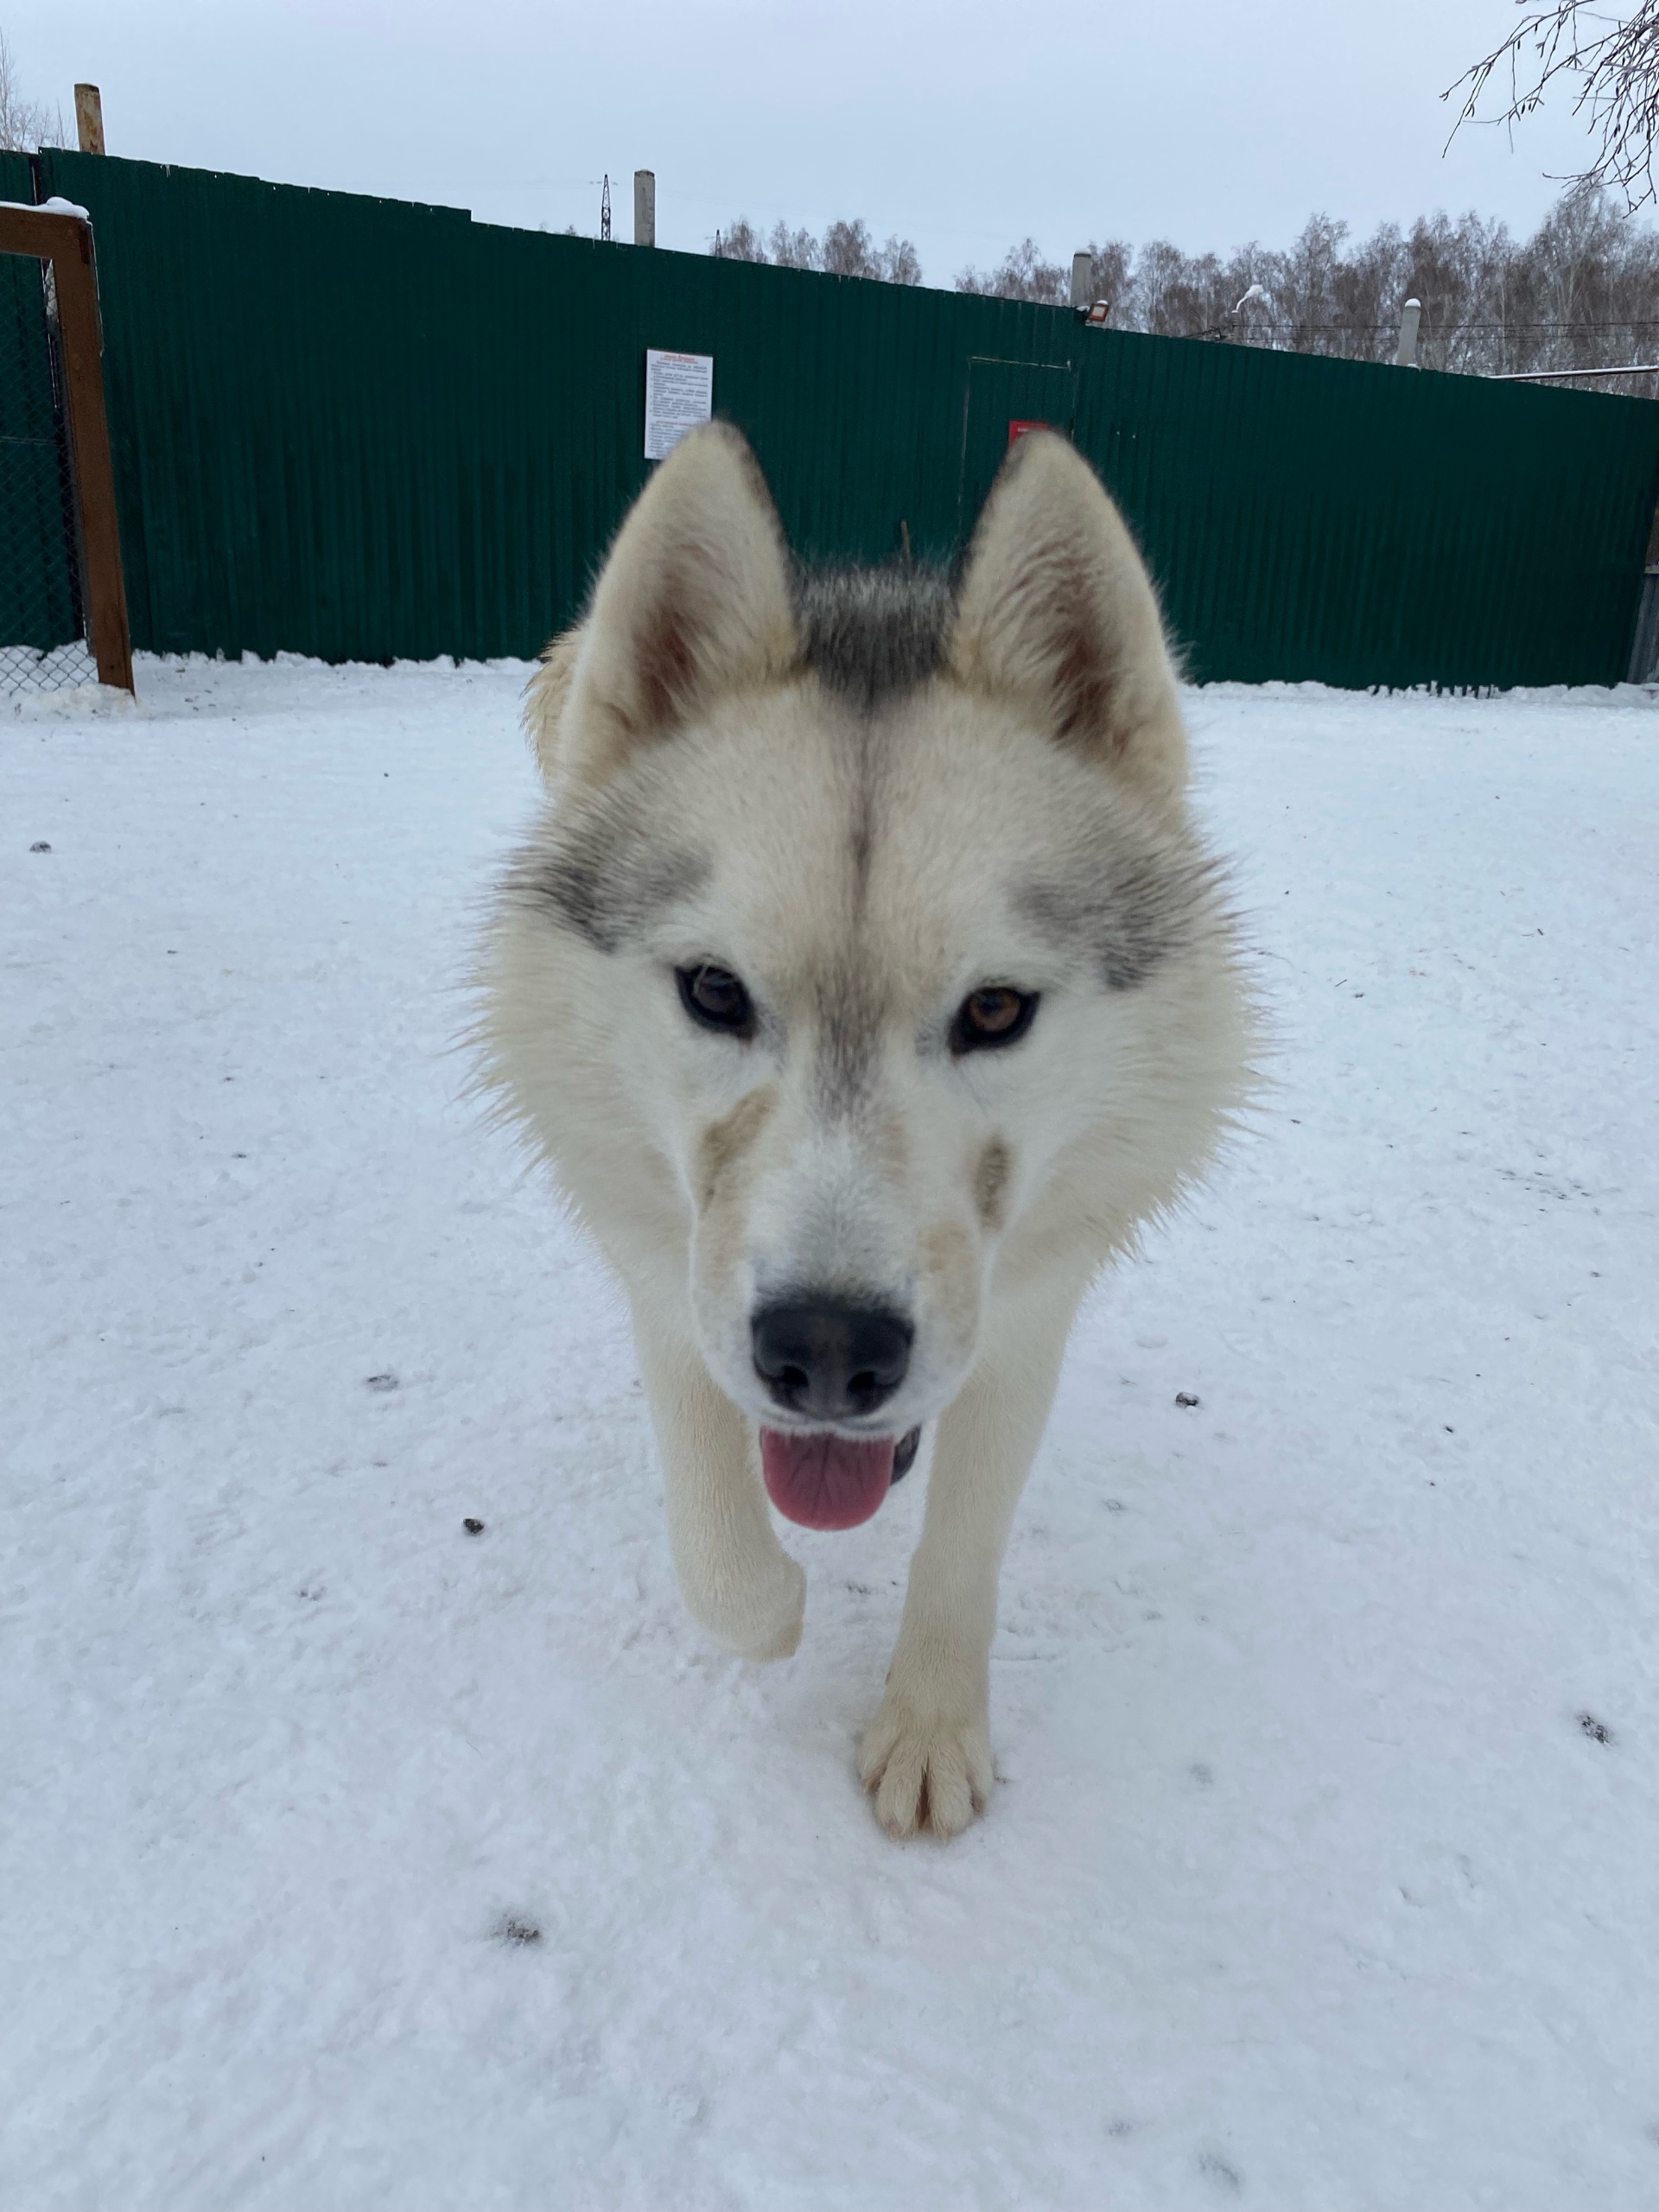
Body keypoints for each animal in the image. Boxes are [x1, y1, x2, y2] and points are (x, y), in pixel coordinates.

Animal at [473, 422, 1256, 1840]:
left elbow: (963, 1547)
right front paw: (776, 1607)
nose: (830, 1354)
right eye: (714, 993)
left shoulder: (1025, 1314)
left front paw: (933, 1723)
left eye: (995, 1010)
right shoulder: (668, 1270)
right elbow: (720, 1552)